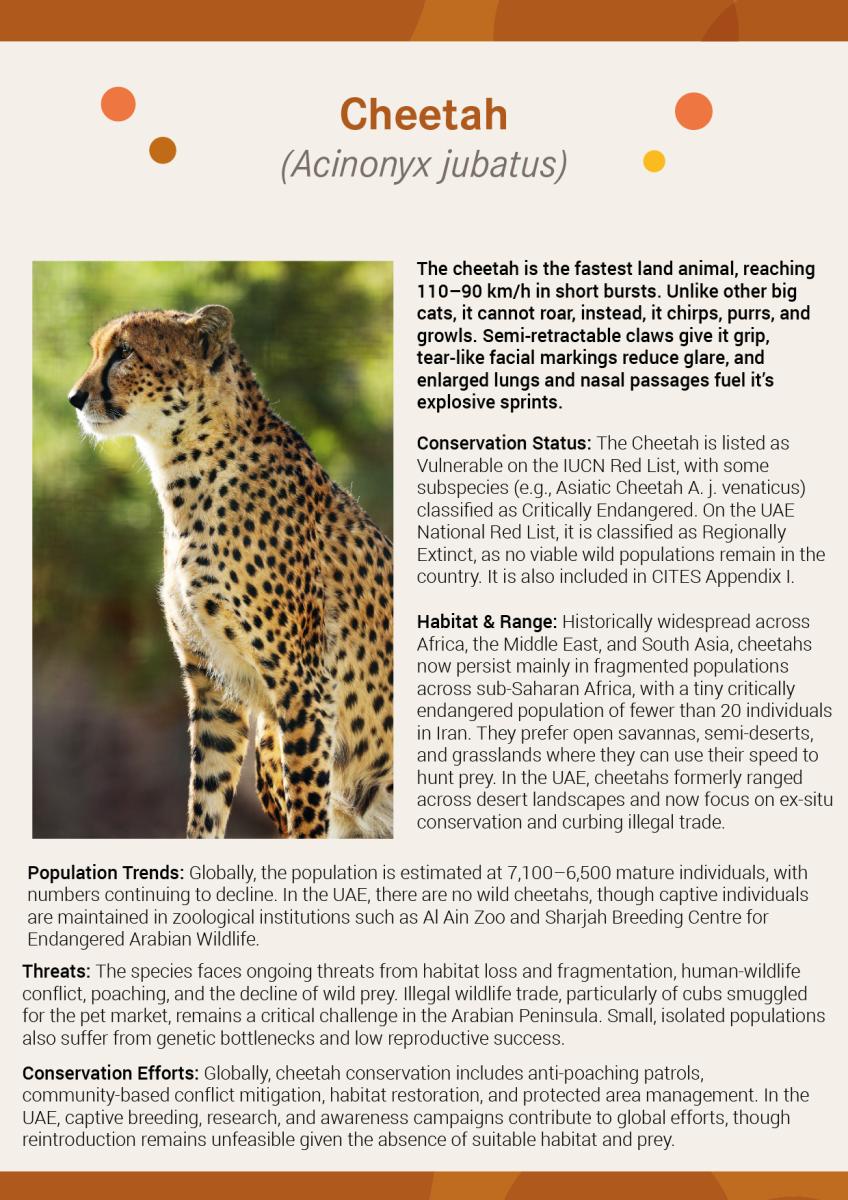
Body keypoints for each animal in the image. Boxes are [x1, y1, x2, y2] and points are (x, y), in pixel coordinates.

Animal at [68, 304, 393, 839]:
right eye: (97, 351)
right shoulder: (212, 688)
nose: (75, 398)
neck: (183, 474)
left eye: (124, 352)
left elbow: (307, 814)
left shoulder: (305, 686)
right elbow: (205, 807)